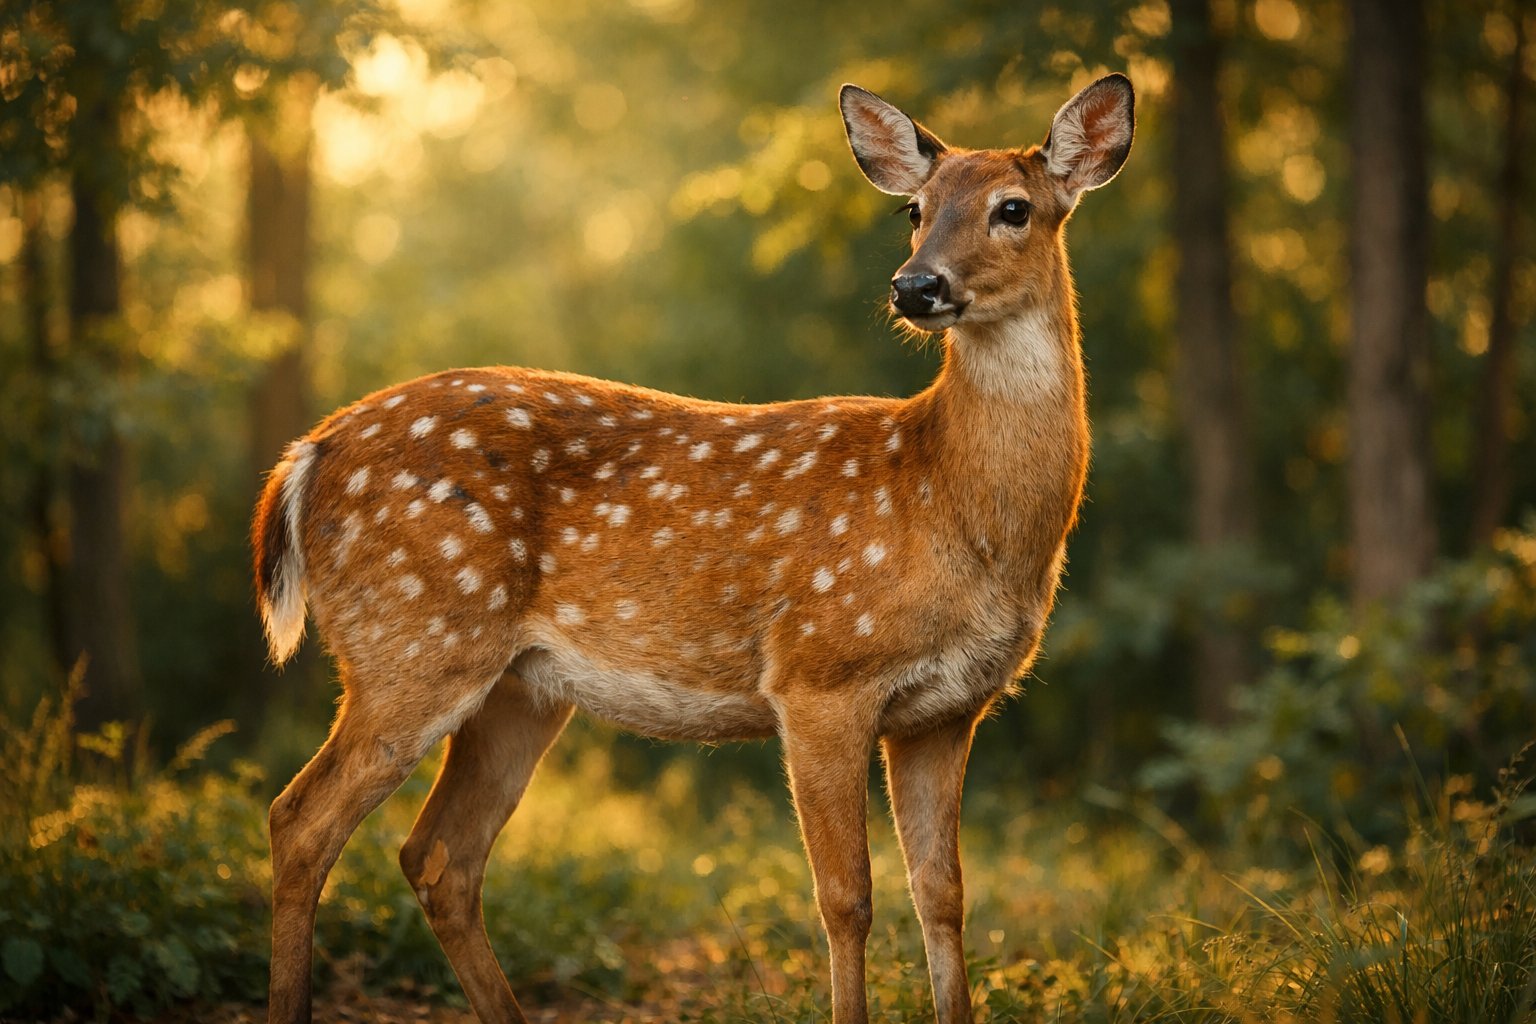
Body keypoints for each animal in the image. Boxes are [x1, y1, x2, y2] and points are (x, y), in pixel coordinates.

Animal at [253, 73, 1134, 1024]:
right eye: (915, 210)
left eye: (1014, 208)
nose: (915, 286)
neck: (954, 509)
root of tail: (307, 456)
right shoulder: (820, 675)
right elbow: (846, 898)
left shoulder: (946, 712)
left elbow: (943, 895)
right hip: (413, 639)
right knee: (300, 820)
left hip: (517, 687)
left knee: (438, 856)